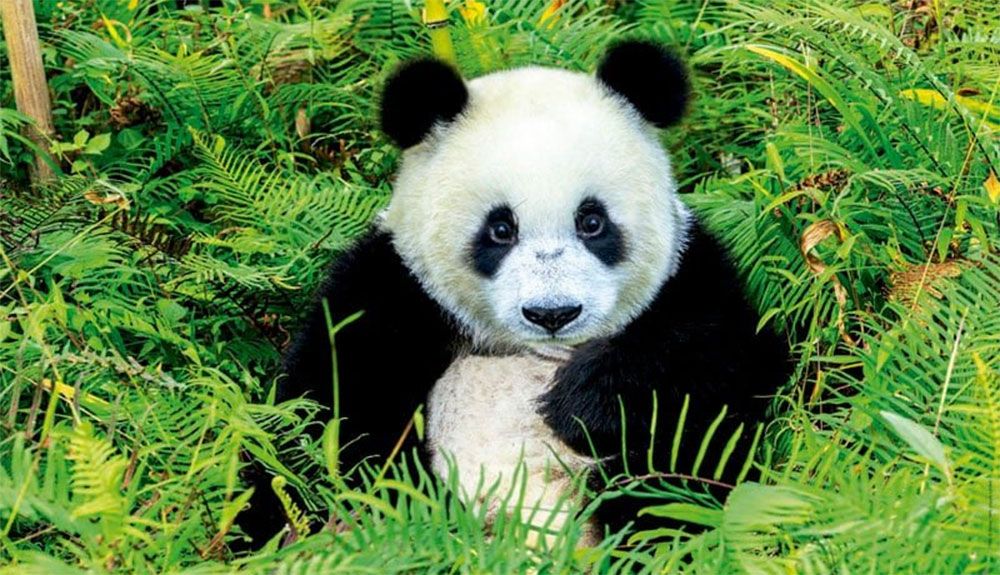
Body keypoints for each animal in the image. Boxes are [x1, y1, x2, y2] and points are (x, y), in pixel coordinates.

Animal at [242, 40, 789, 547]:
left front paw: (582, 399)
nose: (553, 313)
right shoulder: (394, 290)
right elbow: (320, 415)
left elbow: (722, 366)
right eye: (500, 229)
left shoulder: (690, 277)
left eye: (592, 222)